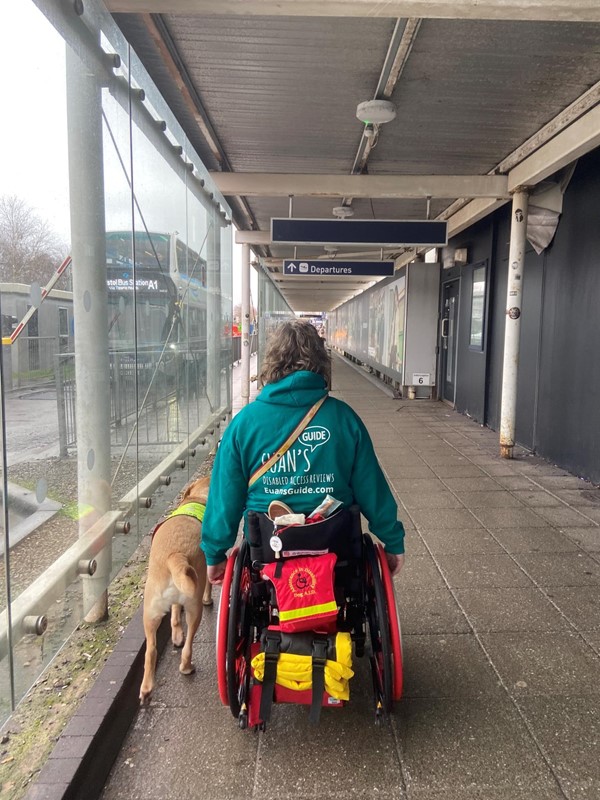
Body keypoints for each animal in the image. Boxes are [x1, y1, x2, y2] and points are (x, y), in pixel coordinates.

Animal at [139, 472, 212, 704]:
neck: (199, 497)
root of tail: (175, 556)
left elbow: (173, 614)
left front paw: (176, 632)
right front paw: (209, 598)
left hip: (150, 612)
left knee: (150, 651)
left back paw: (146, 689)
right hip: (194, 609)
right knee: (188, 647)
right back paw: (186, 667)